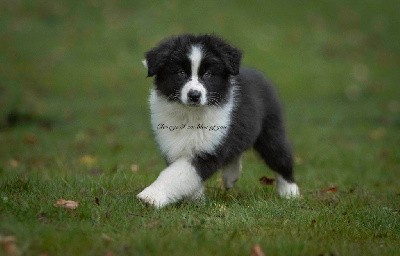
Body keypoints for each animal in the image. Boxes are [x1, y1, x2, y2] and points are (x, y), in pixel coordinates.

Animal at [139, 33, 298, 208]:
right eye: (180, 73)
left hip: (270, 131)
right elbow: (182, 175)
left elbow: (176, 174)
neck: (191, 114)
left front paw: (151, 196)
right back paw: (230, 177)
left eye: (208, 74)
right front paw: (195, 199)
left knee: (281, 157)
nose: (194, 95)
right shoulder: (173, 144)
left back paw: (290, 192)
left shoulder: (209, 148)